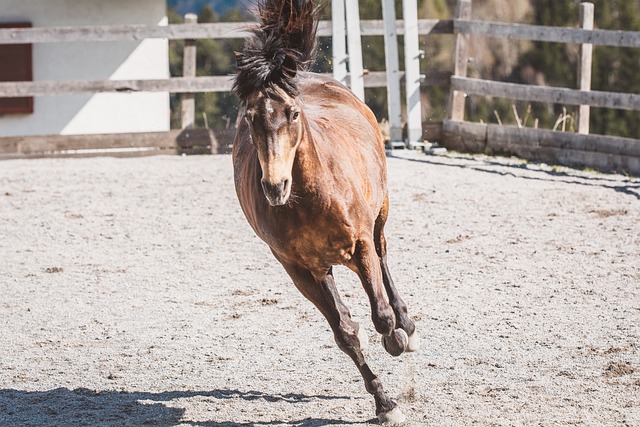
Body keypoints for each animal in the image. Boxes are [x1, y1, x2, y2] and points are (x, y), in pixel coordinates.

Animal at [232, 0, 418, 422]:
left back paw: (406, 325)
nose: (275, 187)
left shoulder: (360, 244)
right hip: (322, 267)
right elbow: (345, 333)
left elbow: (380, 313)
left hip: (380, 215)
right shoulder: (300, 272)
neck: (309, 202)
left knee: (384, 257)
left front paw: (395, 338)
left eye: (292, 113)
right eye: (249, 117)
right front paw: (385, 403)